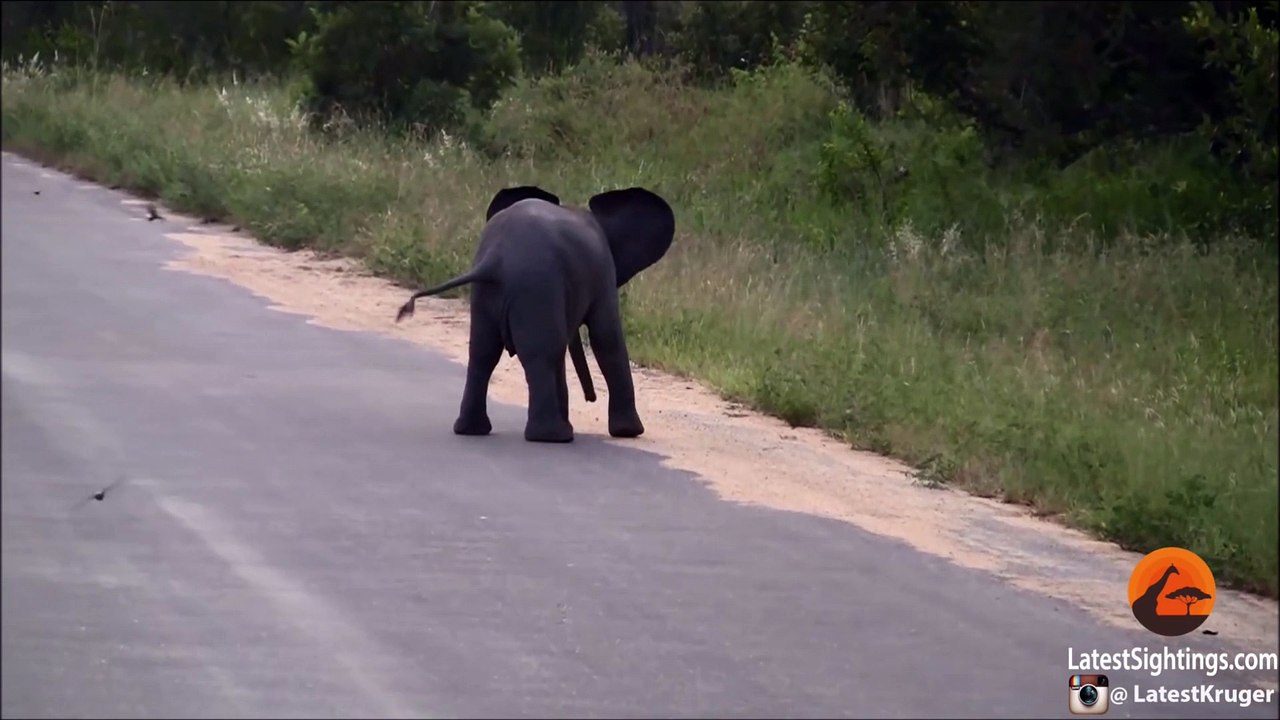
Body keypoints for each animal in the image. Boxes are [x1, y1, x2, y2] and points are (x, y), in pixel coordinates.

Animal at [394, 184, 676, 443]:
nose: (590, 398)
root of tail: (496, 260)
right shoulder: (602, 272)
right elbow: (606, 338)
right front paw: (630, 433)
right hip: (537, 284)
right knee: (542, 352)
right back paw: (554, 436)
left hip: (489, 293)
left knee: (484, 353)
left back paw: (472, 430)